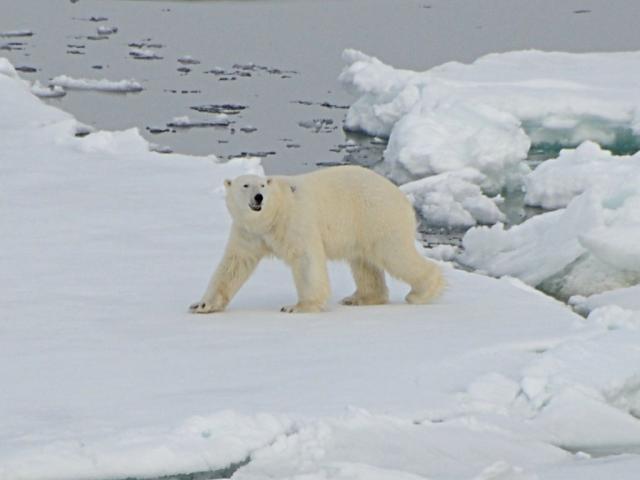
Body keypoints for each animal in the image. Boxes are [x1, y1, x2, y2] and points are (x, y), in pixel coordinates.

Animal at [188, 166, 442, 316]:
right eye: (245, 185)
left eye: (261, 185)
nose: (258, 197)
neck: (272, 215)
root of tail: (401, 195)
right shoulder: (248, 232)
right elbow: (233, 264)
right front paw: (202, 305)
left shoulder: (295, 221)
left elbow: (306, 259)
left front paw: (298, 306)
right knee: (364, 263)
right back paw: (359, 298)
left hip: (376, 215)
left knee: (394, 253)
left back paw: (422, 292)